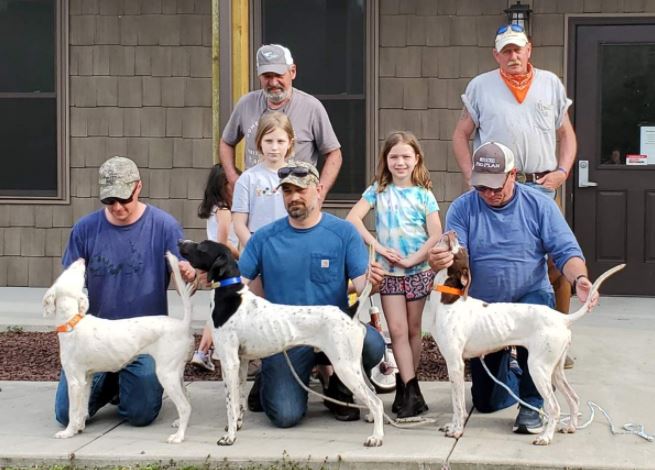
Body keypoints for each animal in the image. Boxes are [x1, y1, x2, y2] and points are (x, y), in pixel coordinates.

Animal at [43, 252, 195, 442]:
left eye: (72, 273)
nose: (81, 259)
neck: (73, 322)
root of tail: (183, 324)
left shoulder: (75, 380)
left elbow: (72, 411)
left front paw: (68, 432)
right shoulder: (87, 378)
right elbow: (82, 409)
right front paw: (79, 427)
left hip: (166, 373)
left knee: (185, 406)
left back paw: (178, 436)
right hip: (177, 372)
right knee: (187, 399)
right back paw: (179, 423)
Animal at [178, 241, 384, 446]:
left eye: (202, 247)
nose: (181, 243)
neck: (230, 294)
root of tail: (349, 312)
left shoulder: (229, 362)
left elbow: (230, 403)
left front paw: (229, 437)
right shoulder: (241, 362)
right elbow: (239, 400)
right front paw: (237, 424)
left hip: (344, 367)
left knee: (376, 402)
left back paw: (376, 437)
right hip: (353, 366)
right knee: (373, 391)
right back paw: (371, 420)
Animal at [430, 231, 624, 444]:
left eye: (460, 249)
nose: (452, 232)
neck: (449, 300)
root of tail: (562, 318)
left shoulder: (455, 363)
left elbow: (458, 406)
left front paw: (457, 430)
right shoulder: (452, 364)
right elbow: (455, 404)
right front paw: (451, 426)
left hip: (538, 367)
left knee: (554, 407)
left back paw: (545, 437)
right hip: (555, 370)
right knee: (573, 398)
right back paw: (570, 427)